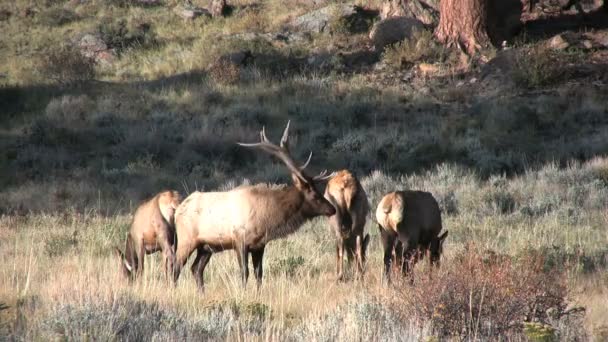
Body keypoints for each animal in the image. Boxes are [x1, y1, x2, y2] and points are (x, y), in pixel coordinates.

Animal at [172, 121, 338, 290]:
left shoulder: (259, 245)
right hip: (186, 240)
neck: (266, 218)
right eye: (314, 195)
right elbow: (244, 273)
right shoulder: (240, 240)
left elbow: (259, 273)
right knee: (175, 267)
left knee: (196, 268)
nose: (332, 209)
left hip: (206, 247)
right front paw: (243, 292)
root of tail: (178, 210)